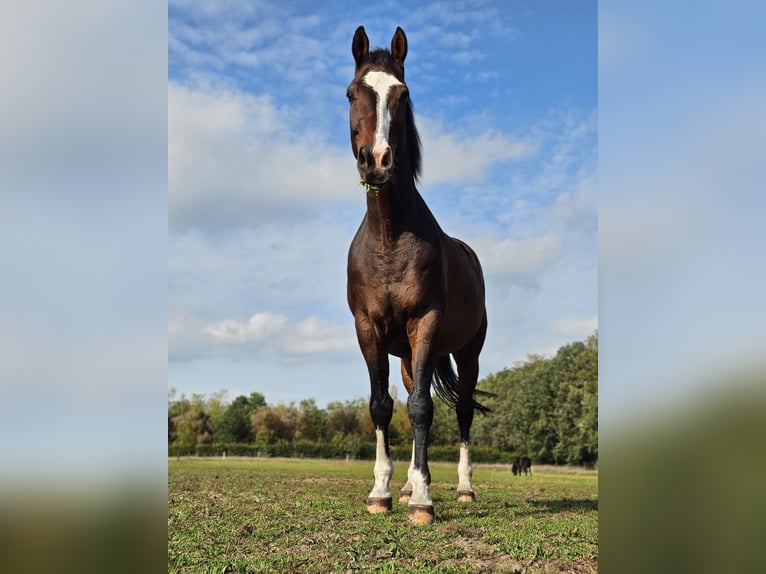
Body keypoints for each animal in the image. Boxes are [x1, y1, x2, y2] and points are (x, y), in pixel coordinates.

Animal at [346, 26, 490, 525]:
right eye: (351, 93)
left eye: (403, 95)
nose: (377, 160)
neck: (390, 237)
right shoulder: (367, 329)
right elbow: (382, 406)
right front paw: (383, 491)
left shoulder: (425, 323)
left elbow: (424, 409)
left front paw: (424, 501)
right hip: (408, 357)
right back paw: (408, 483)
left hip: (467, 353)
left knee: (462, 410)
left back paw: (463, 488)